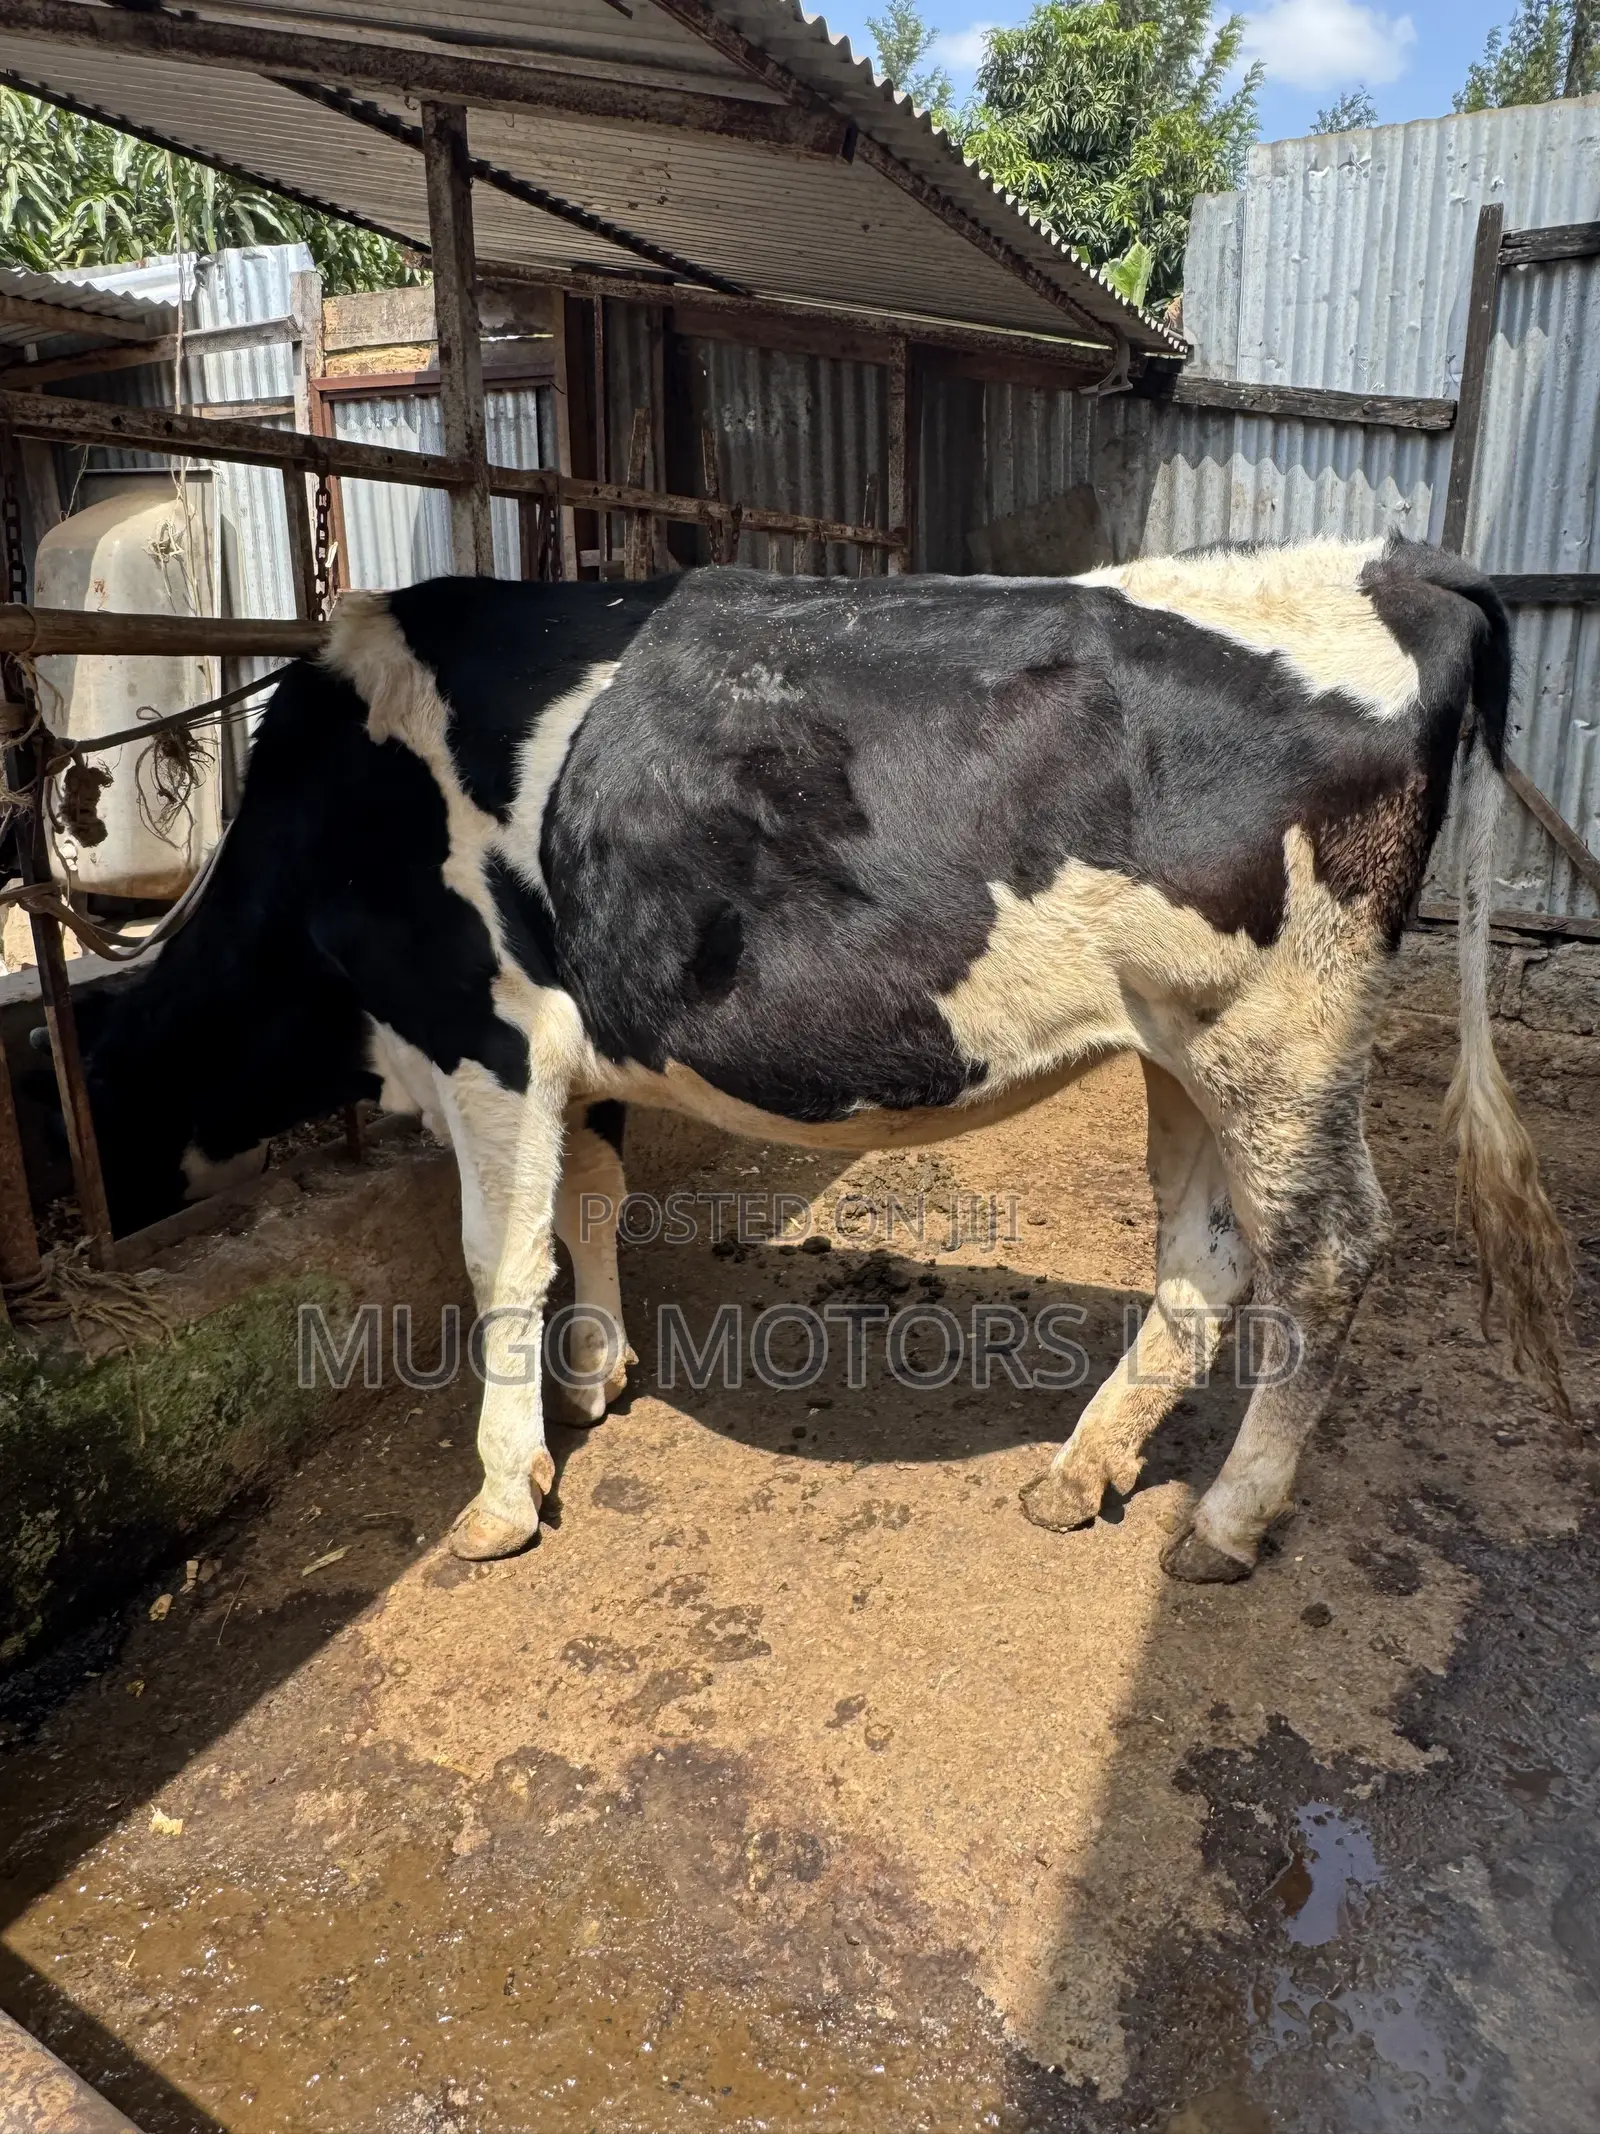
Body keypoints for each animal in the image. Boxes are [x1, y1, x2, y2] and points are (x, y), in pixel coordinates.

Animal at [55, 536, 1570, 1584]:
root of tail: (1394, 562)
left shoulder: (484, 1035)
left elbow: (501, 1258)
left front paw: (499, 1491)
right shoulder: (583, 1047)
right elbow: (594, 1201)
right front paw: (599, 1373)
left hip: (1282, 1033)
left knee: (1327, 1254)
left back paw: (1226, 1520)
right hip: (1183, 1040)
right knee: (1205, 1251)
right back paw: (1082, 1469)